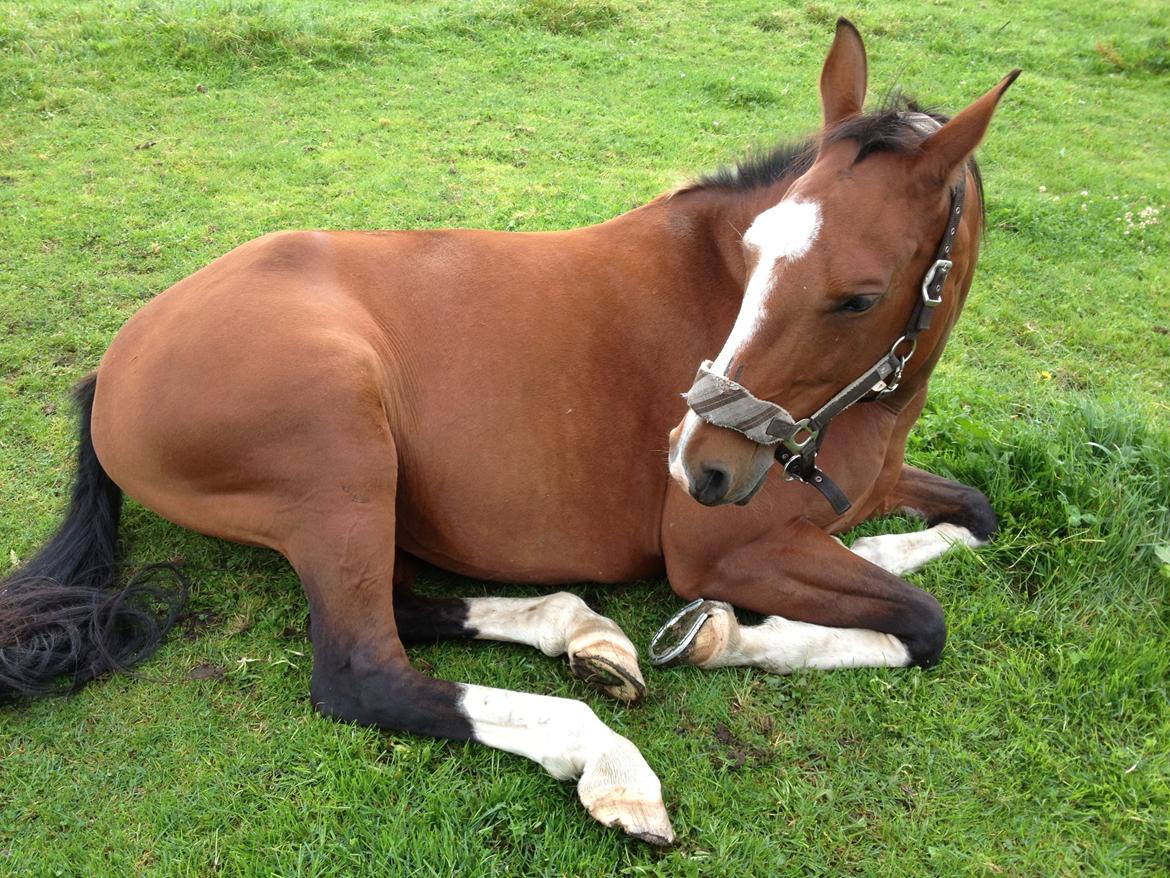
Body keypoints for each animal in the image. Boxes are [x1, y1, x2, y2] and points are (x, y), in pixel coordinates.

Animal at [0, 18, 1020, 847]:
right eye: (759, 251)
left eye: (856, 295)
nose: (699, 466)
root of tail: (111, 370)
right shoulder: (720, 551)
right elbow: (920, 623)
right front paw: (726, 633)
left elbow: (972, 515)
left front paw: (872, 552)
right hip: (341, 449)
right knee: (365, 668)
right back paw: (605, 758)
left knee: (408, 605)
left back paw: (583, 635)